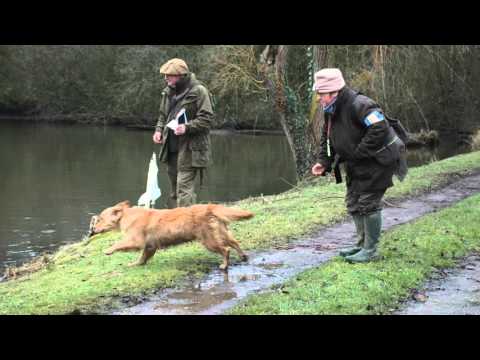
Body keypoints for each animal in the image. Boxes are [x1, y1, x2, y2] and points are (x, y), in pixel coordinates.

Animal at [91, 200, 255, 270]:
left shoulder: (136, 240)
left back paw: (224, 265)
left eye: (100, 219)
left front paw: (108, 250)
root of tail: (210, 207)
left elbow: (119, 243)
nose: (92, 230)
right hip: (221, 232)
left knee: (226, 250)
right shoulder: (150, 246)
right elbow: (143, 257)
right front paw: (136, 264)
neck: (126, 215)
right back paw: (243, 256)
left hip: (209, 240)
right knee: (235, 243)